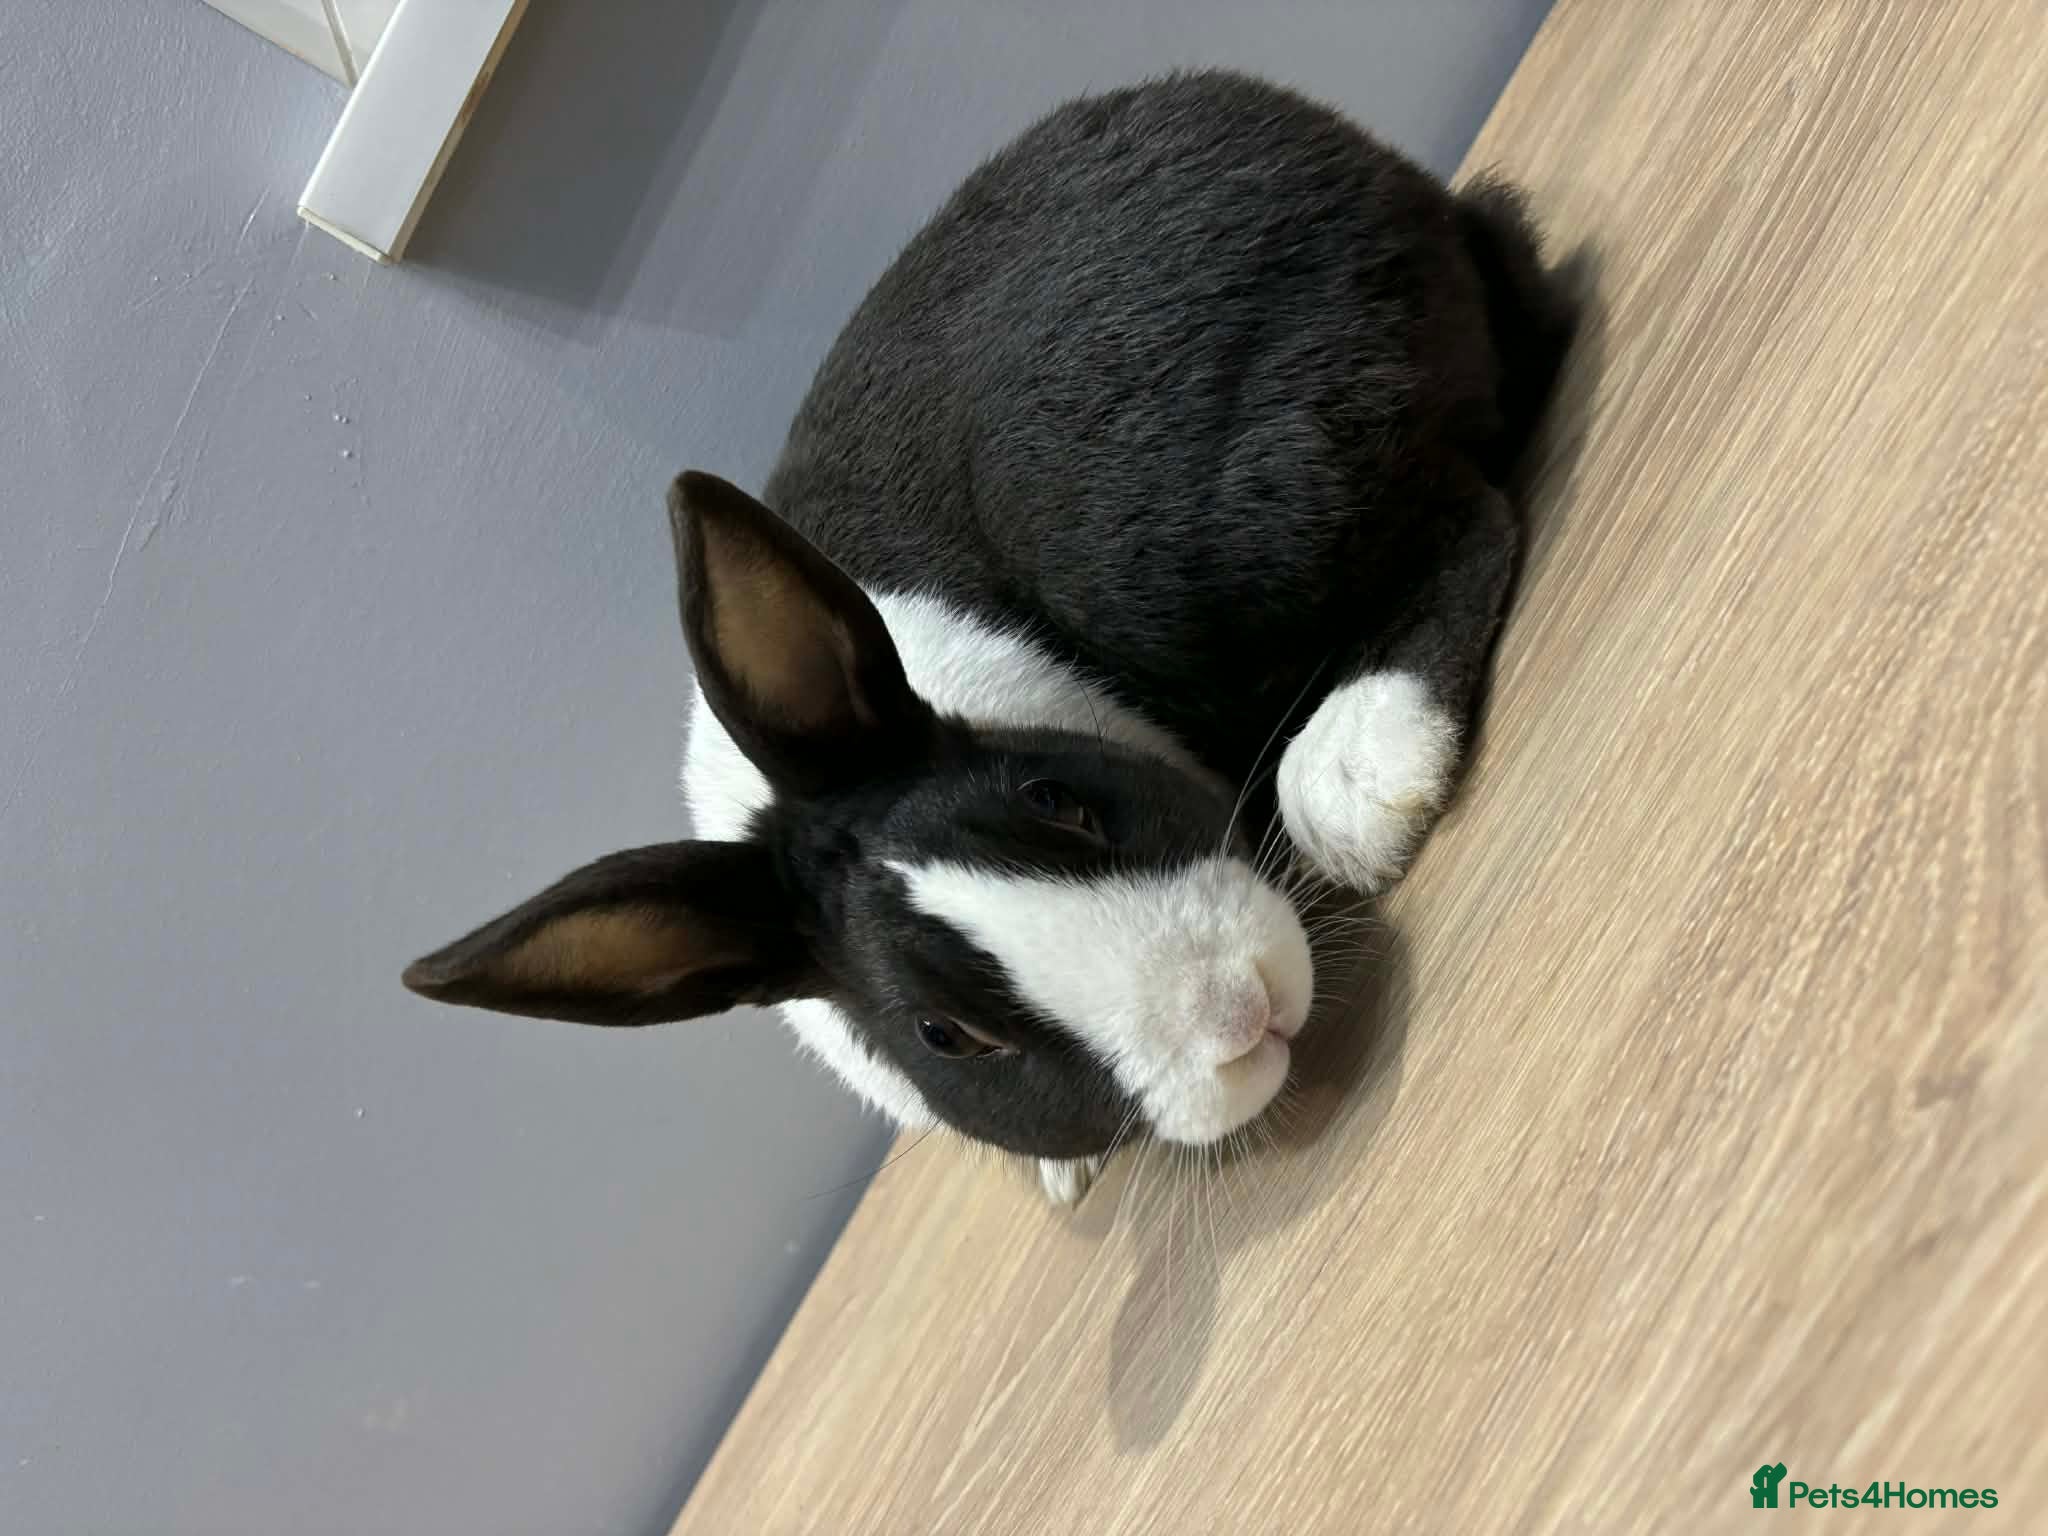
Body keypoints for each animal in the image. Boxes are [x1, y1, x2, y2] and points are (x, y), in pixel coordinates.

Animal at [402, 71, 1576, 1205]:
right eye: (945, 1037)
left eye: (1055, 802)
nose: (1234, 1008)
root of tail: (1359, 165)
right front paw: (1063, 1173)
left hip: (1192, 529)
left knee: (1463, 515)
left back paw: (1355, 778)